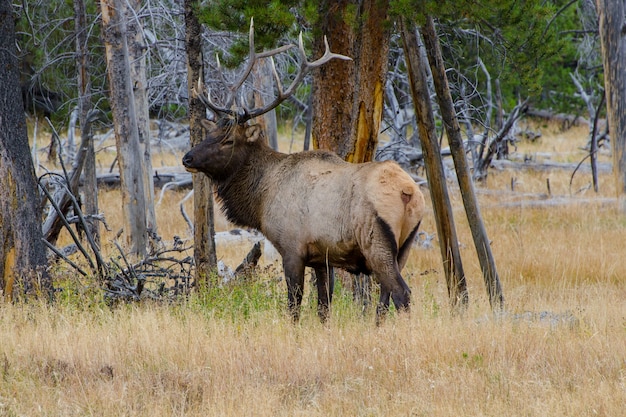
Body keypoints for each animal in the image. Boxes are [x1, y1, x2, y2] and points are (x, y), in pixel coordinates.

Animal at [180, 21, 424, 324]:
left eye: (228, 140)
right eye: (211, 132)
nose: (187, 157)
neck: (261, 200)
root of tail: (409, 192)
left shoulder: (292, 247)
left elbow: (294, 304)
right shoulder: (322, 257)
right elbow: (323, 305)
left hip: (376, 242)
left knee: (401, 293)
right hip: (405, 246)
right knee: (385, 298)